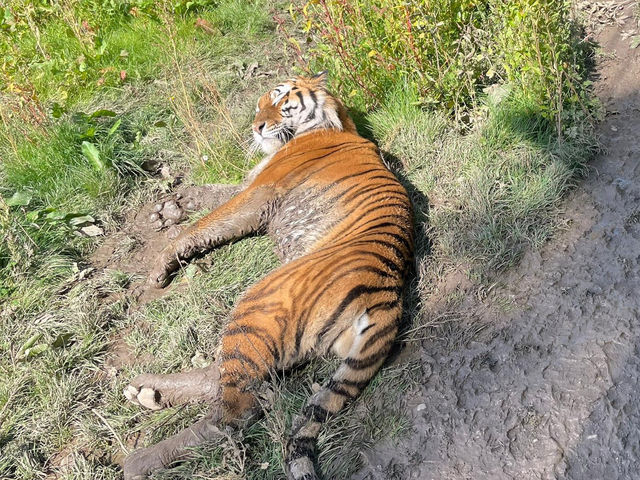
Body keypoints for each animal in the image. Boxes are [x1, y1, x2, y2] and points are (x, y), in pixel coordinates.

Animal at [124, 72, 416, 480]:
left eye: (279, 102)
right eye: (260, 104)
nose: (255, 126)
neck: (332, 124)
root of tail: (387, 296)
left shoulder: (260, 193)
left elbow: (204, 224)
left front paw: (159, 268)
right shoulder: (251, 184)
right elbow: (210, 192)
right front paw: (172, 205)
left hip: (255, 304)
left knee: (237, 411)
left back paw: (140, 459)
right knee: (231, 382)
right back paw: (147, 391)